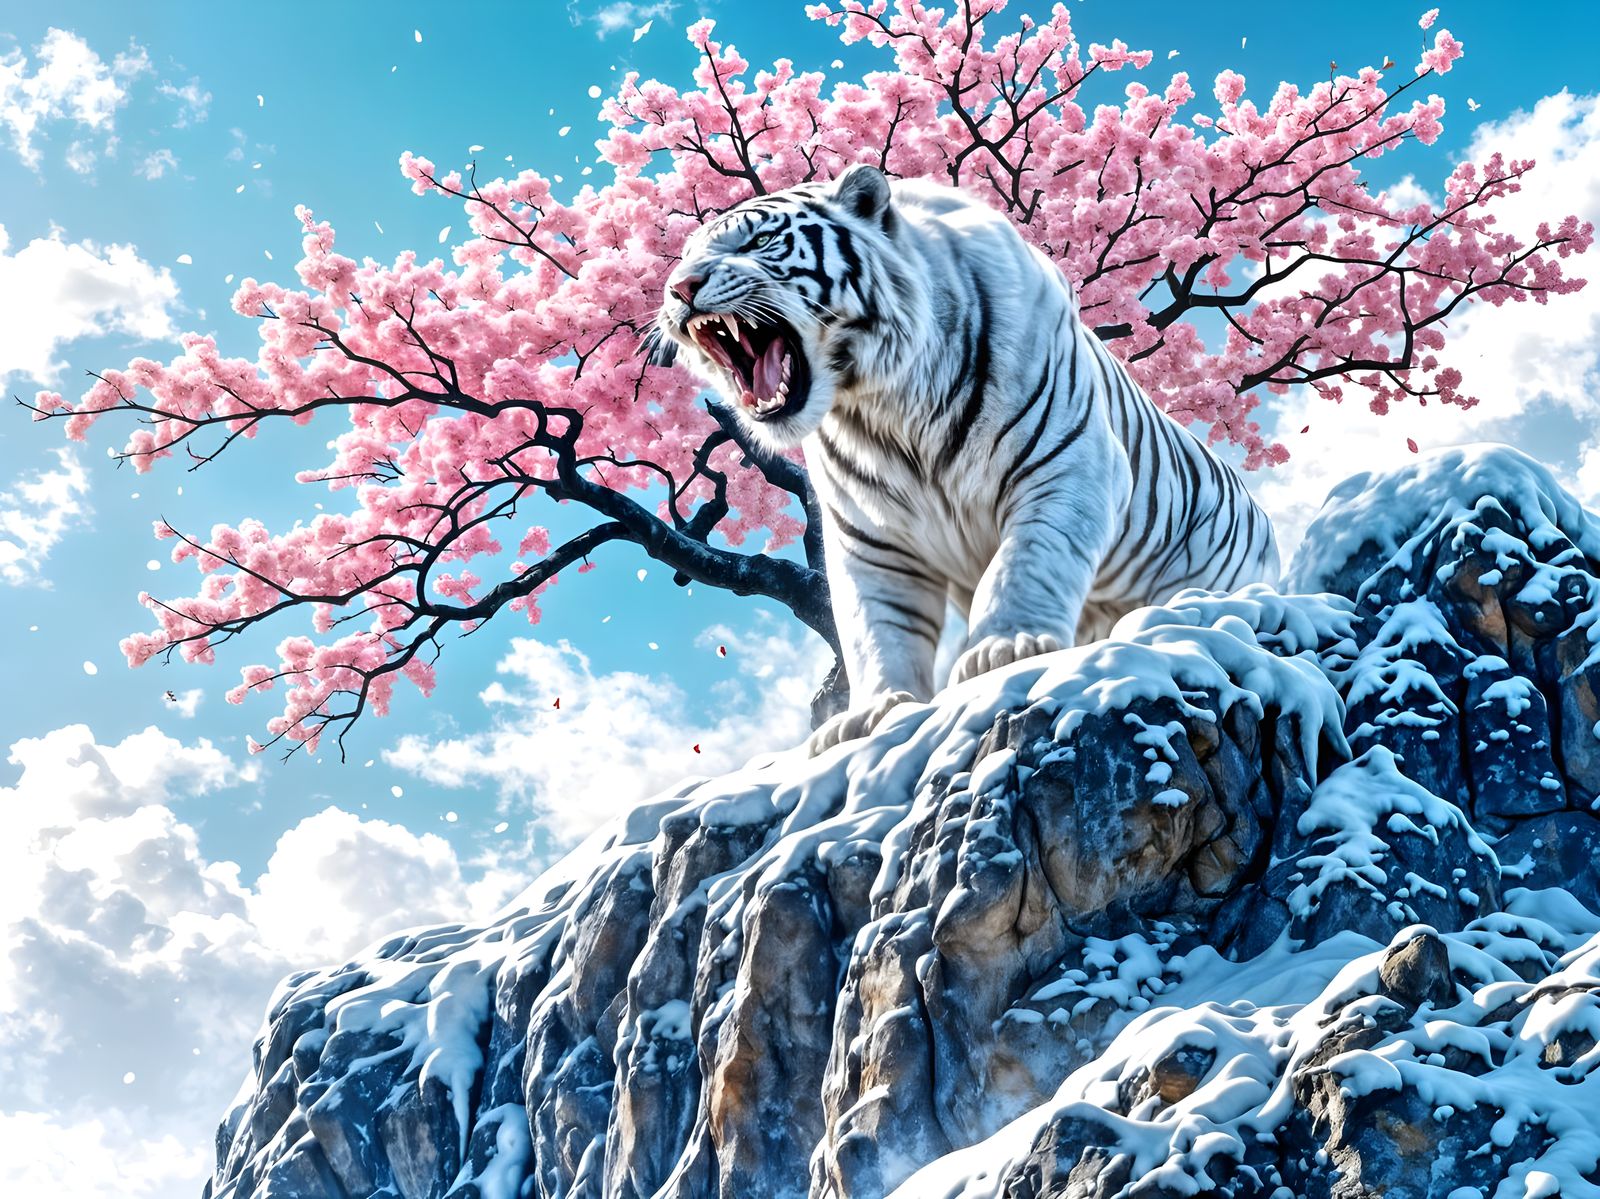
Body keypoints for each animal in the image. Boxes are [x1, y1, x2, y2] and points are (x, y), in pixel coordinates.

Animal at [655, 164, 1280, 752]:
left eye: (759, 241)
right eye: (684, 259)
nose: (681, 288)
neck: (882, 403)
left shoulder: (1067, 464)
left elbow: (1027, 561)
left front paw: (1007, 649)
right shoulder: (870, 537)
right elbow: (877, 627)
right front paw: (872, 715)